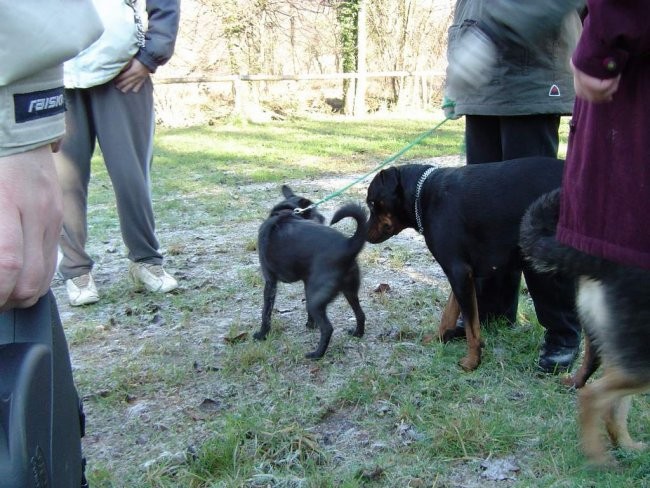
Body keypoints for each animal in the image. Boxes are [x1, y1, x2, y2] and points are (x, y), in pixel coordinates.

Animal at [252, 186, 364, 358]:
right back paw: (357, 333)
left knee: (328, 328)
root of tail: (348, 245)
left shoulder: (270, 283)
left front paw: (262, 334)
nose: (323, 217)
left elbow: (266, 313)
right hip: (349, 292)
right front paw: (310, 324)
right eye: (315, 210)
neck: (286, 212)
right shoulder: (306, 282)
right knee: (360, 314)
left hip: (316, 301)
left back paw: (316, 354)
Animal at [364, 158, 568, 372]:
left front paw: (472, 361)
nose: (364, 233)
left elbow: (472, 327)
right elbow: (449, 313)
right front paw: (439, 338)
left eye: (372, 203)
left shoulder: (459, 272)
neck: (424, 197)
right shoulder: (461, 273)